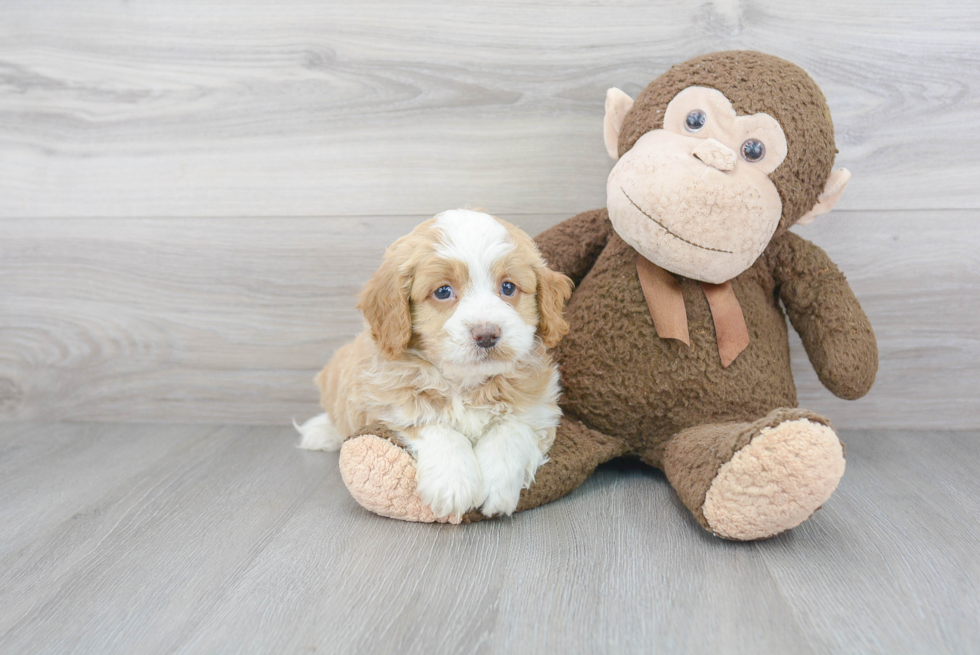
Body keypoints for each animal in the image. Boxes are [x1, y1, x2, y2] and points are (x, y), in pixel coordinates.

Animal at [294, 210, 580, 524]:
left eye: (508, 287)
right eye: (443, 291)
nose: (487, 334)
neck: (465, 382)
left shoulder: (539, 407)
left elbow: (511, 429)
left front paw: (497, 483)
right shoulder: (389, 401)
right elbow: (434, 426)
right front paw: (453, 485)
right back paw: (320, 431)